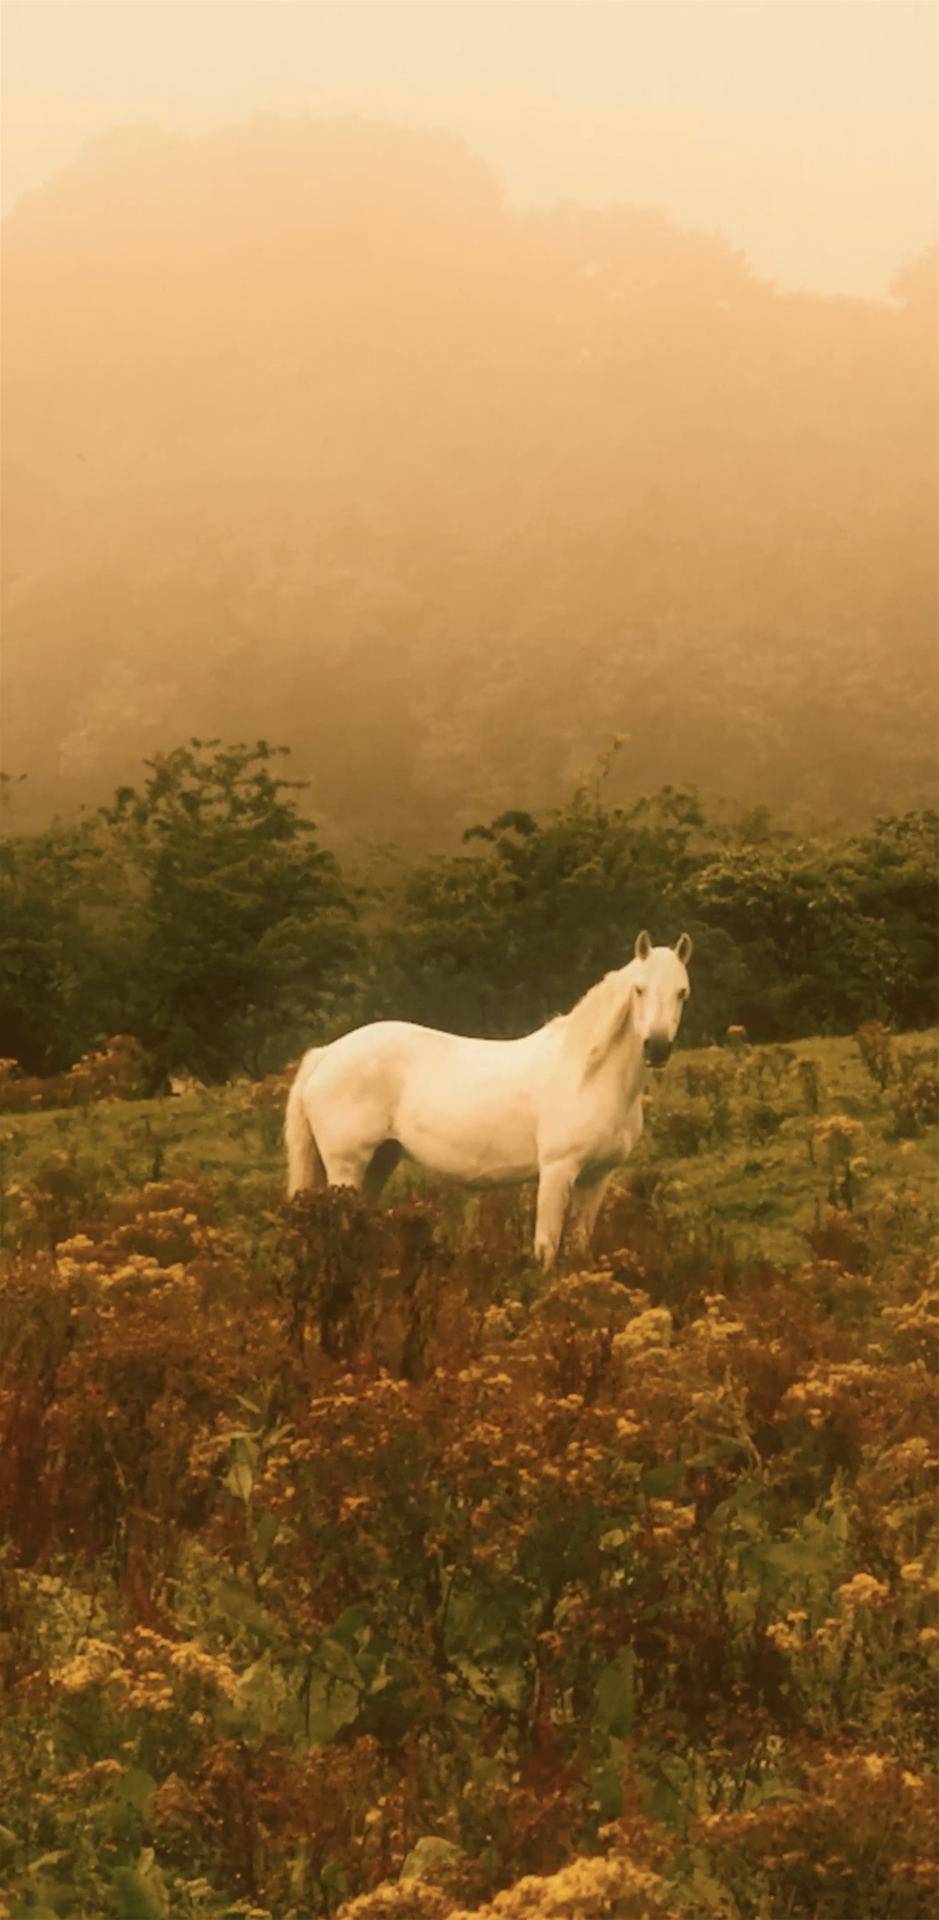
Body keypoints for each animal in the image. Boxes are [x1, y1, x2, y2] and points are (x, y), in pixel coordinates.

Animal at [286, 933, 687, 1274]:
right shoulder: (557, 1170)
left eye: (682, 992)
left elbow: (578, 1246)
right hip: (346, 1167)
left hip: (380, 1161)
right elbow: (547, 1247)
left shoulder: (598, 1177)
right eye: (639, 989)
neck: (589, 1075)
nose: (657, 1048)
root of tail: (326, 1054)